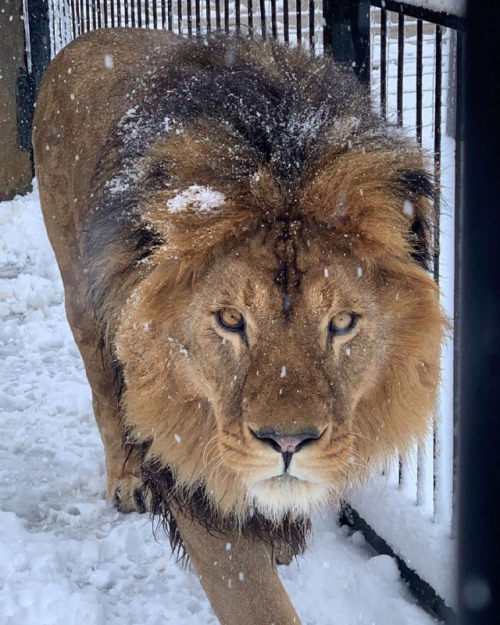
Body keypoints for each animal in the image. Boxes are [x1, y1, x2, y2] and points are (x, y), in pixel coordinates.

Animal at [33, 29, 444, 624]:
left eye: (342, 322)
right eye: (231, 319)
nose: (288, 442)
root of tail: (83, 40)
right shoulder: (191, 462)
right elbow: (256, 598)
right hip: (83, 303)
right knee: (105, 394)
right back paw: (127, 481)